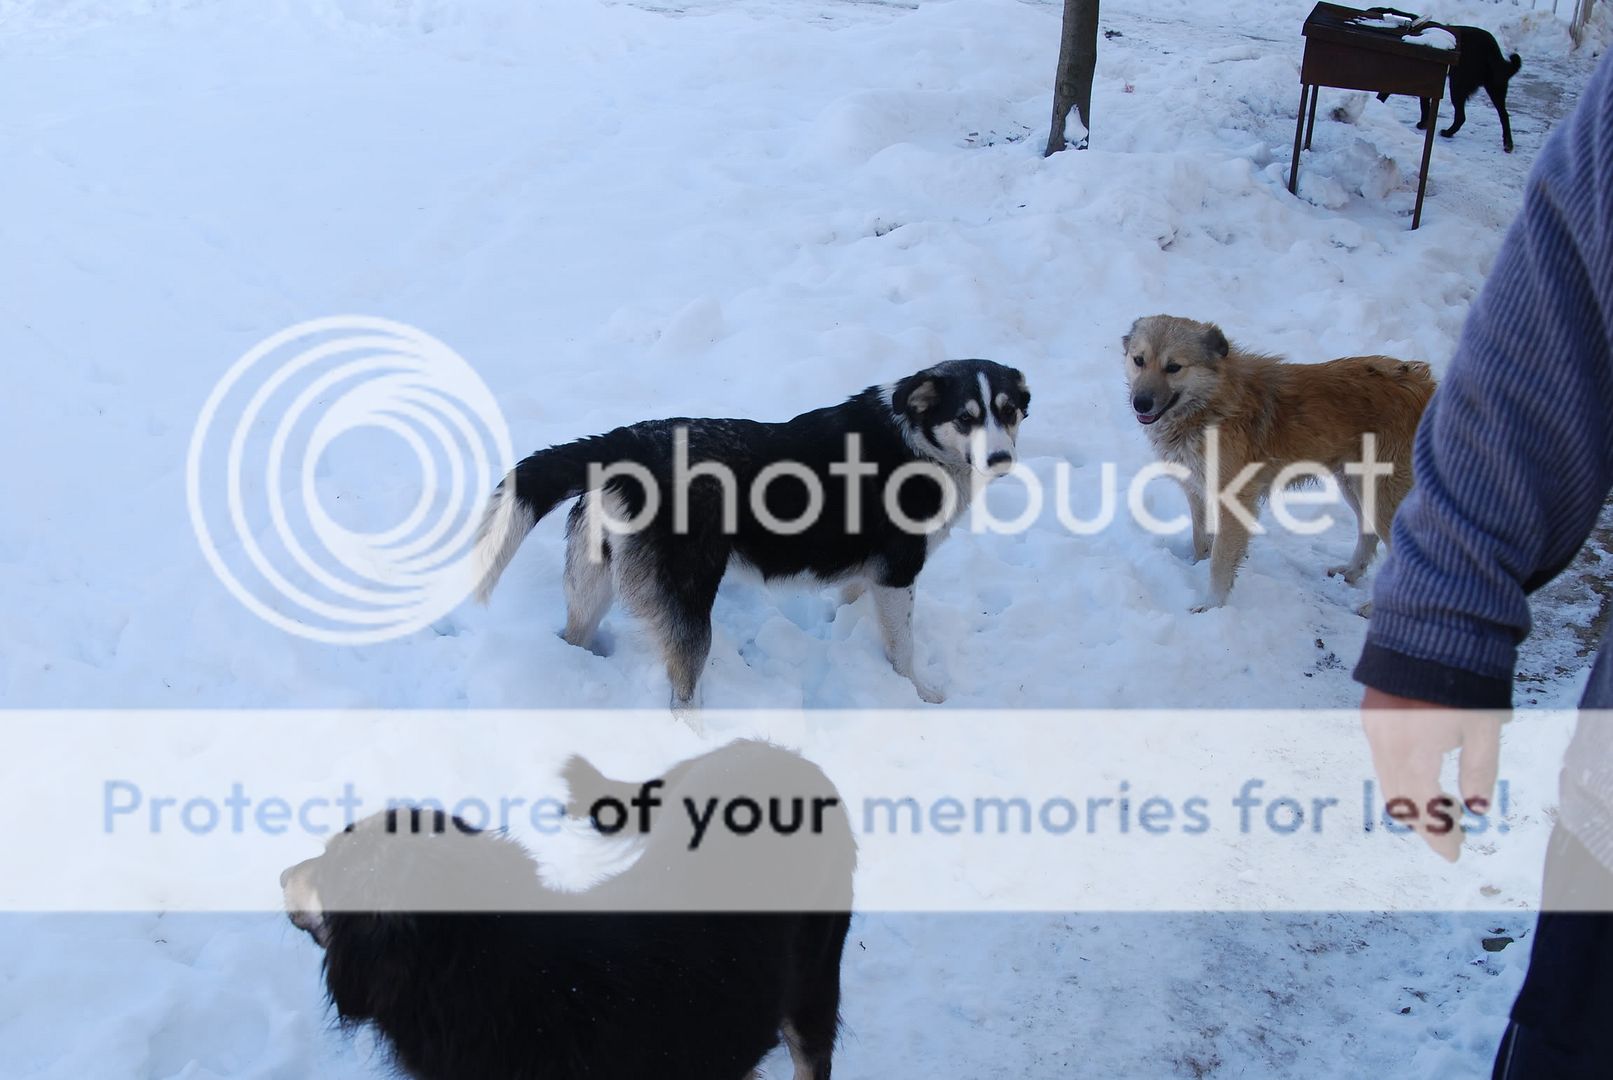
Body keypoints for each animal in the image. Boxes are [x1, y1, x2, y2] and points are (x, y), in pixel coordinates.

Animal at [470, 359, 1025, 715]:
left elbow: (852, 604)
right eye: (965, 418)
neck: (917, 436)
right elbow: (903, 651)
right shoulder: (898, 573)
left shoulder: (870, 572)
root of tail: (624, 442)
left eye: (1008, 411)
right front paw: (920, 694)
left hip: (592, 586)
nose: (1001, 460)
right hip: (689, 605)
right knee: (681, 699)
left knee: (575, 638)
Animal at [1129, 317, 1432, 612]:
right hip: (1355, 484)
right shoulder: (1197, 489)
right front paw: (1199, 563)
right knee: (1368, 532)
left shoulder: (1234, 499)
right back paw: (1351, 571)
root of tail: (1426, 384)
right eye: (1139, 360)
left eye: (1173, 367)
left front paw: (1212, 606)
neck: (1209, 405)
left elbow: (1220, 560)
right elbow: (1201, 539)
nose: (1140, 403)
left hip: (1383, 494)